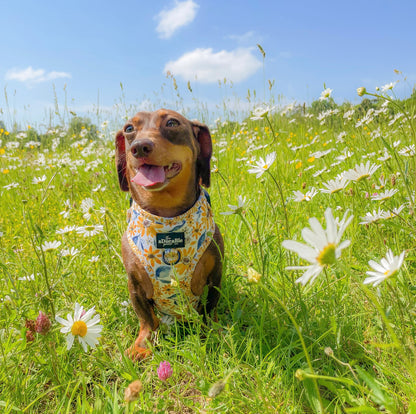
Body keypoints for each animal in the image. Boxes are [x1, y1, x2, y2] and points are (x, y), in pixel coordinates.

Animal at [114, 109, 224, 360]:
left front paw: (212, 332)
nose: (140, 147)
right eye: (129, 128)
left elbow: (210, 306)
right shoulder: (134, 283)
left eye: (172, 122)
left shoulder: (216, 273)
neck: (167, 219)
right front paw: (141, 345)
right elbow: (146, 319)